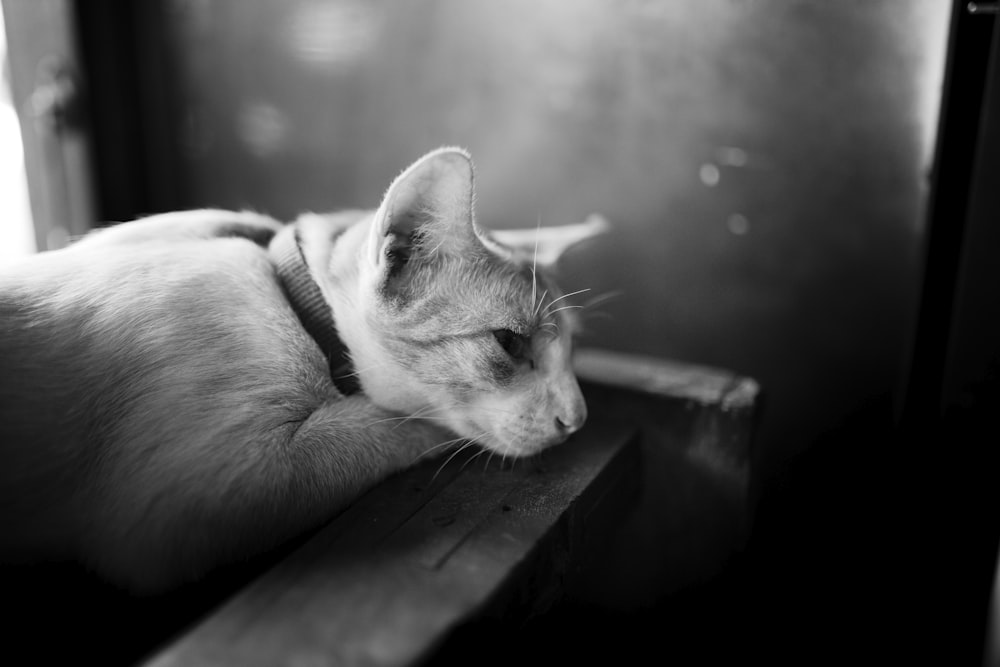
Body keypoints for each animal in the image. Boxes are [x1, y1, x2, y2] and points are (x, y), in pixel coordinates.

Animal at [0, 149, 608, 592]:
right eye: (510, 343)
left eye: (572, 352)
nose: (577, 420)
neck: (284, 287)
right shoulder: (183, 504)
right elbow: (399, 423)